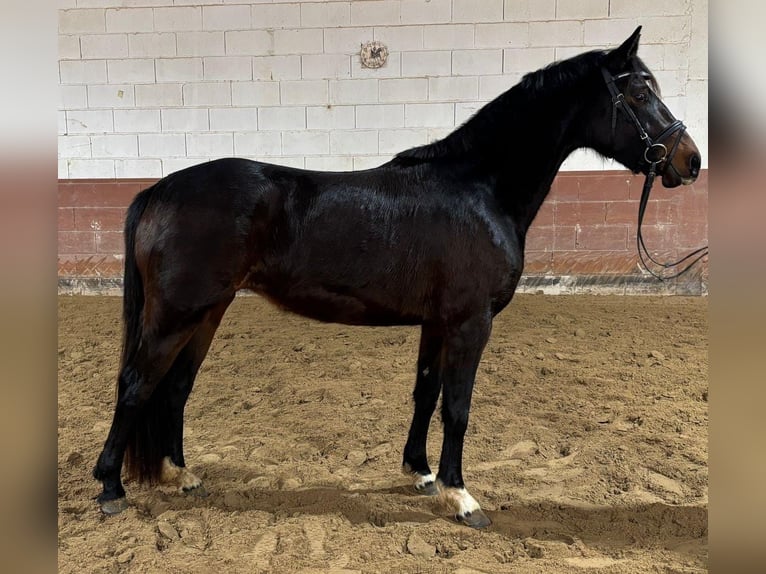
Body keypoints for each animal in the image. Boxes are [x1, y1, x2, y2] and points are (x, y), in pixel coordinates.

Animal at [93, 27, 701, 528]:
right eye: (639, 93)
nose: (689, 161)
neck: (479, 188)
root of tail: (158, 190)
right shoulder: (470, 323)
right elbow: (458, 406)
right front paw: (462, 497)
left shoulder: (438, 322)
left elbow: (425, 393)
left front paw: (422, 473)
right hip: (177, 313)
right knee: (137, 383)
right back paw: (110, 488)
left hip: (208, 311)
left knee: (175, 387)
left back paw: (181, 475)